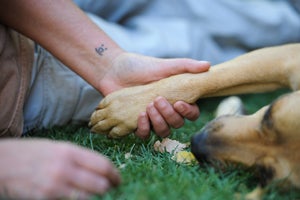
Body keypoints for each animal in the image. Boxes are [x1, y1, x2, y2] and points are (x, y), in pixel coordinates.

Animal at [89, 43, 300, 188]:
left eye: (265, 174)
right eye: (268, 115)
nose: (198, 142)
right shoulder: (284, 57)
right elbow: (199, 79)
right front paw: (124, 107)